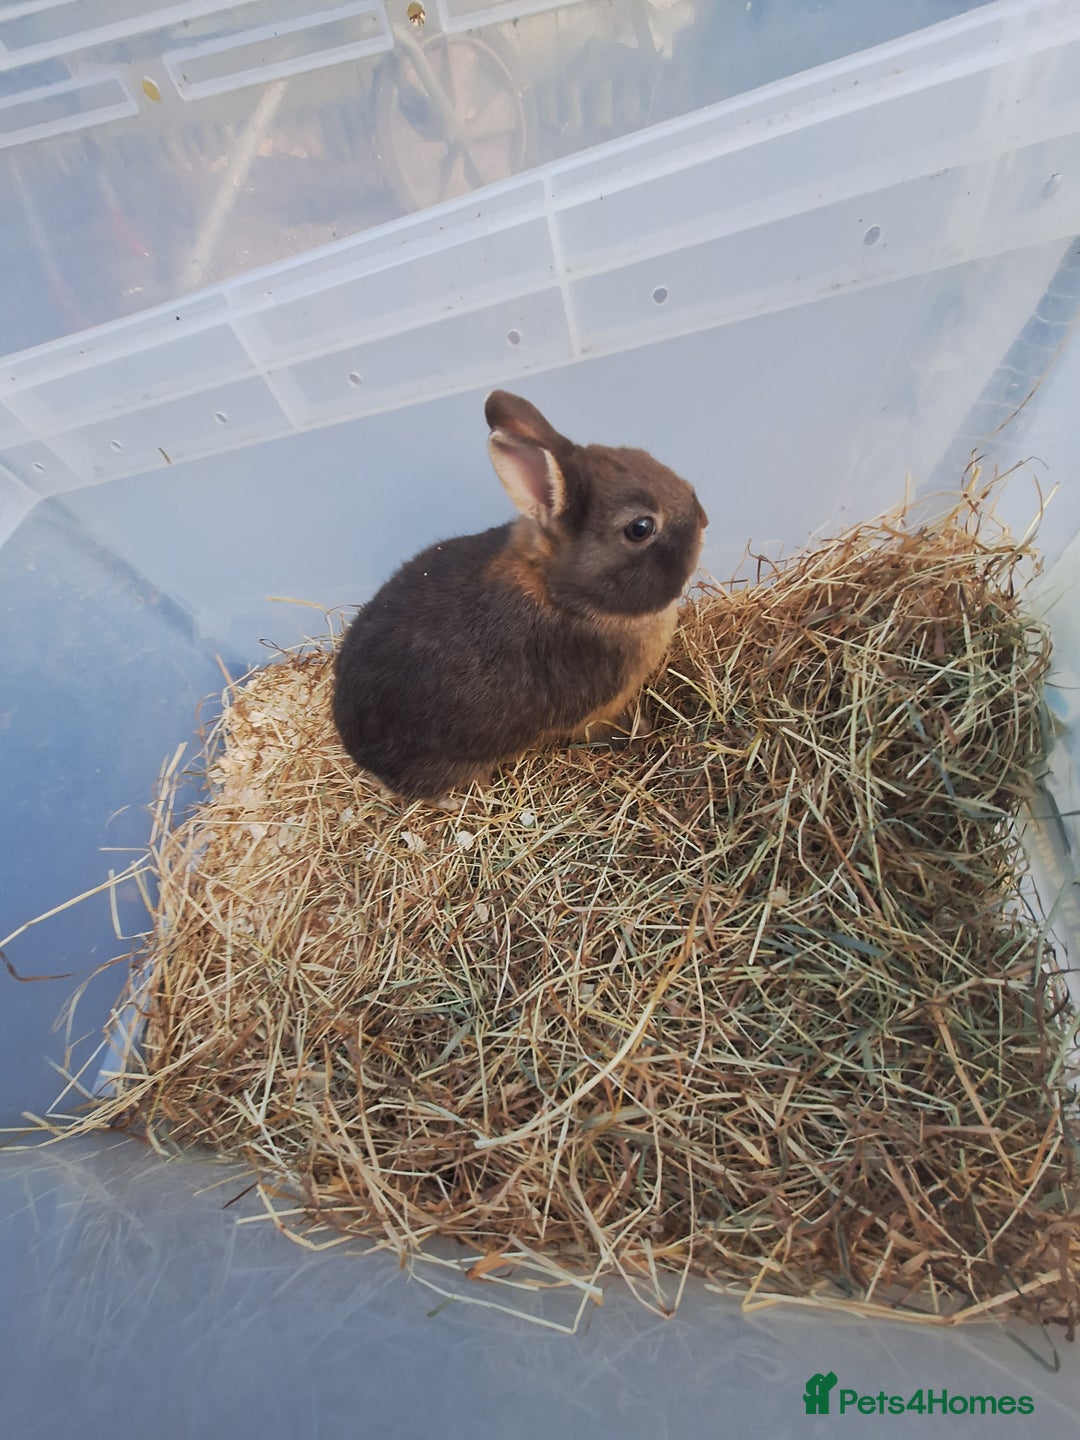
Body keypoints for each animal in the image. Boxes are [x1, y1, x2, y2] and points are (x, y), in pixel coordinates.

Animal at [331, 389, 708, 802]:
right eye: (640, 528)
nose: (704, 519)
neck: (565, 595)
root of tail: (354, 745)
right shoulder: (596, 711)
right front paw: (641, 730)